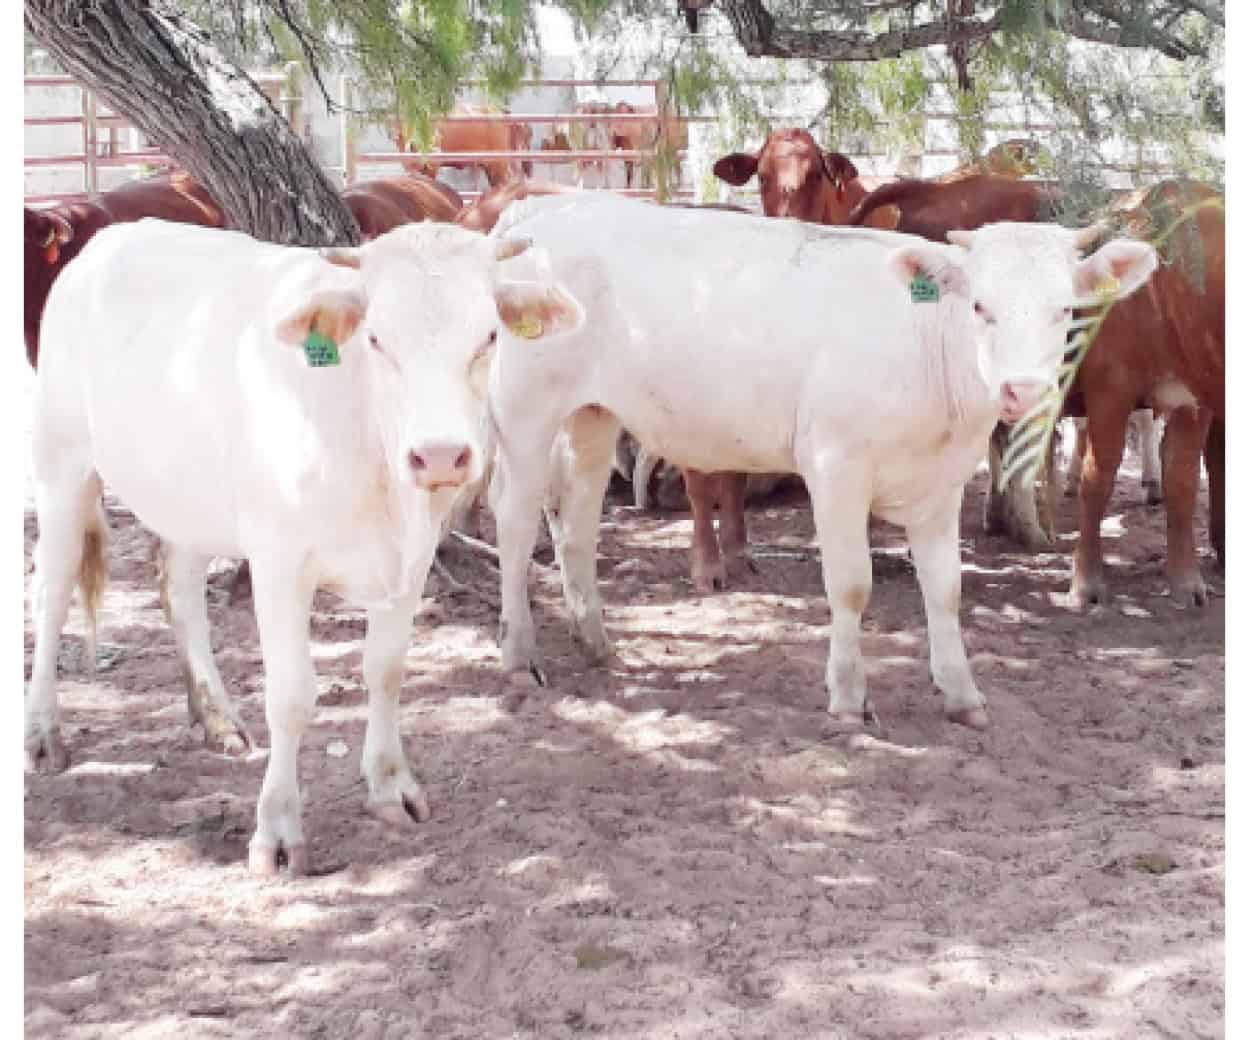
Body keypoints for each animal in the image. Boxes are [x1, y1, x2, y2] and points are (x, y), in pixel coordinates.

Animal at [24, 219, 579, 878]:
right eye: (376, 338)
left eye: (490, 335)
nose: (441, 456)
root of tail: (113, 238)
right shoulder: (279, 562)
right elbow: (291, 697)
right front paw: (278, 830)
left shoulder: (411, 559)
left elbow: (385, 670)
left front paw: (391, 787)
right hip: (61, 462)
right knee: (52, 590)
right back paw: (42, 735)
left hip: (187, 497)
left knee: (178, 589)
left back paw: (215, 717)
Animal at [482, 194, 1154, 729]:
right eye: (979, 307)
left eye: (1064, 309)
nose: (1023, 390)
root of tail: (545, 209)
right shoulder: (835, 467)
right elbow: (852, 584)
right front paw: (850, 697)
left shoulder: (942, 486)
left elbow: (946, 588)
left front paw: (962, 693)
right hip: (524, 410)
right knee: (514, 522)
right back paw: (519, 654)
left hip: (592, 414)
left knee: (577, 518)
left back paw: (594, 640)